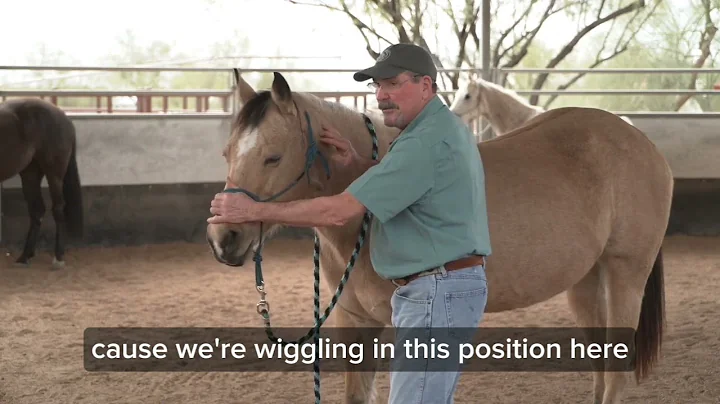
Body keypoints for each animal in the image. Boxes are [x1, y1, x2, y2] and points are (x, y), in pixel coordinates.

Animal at [0, 98, 84, 269]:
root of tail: (63, 116)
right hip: (30, 173)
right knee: (37, 210)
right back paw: (24, 257)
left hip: (54, 175)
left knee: (58, 208)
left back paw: (58, 258)